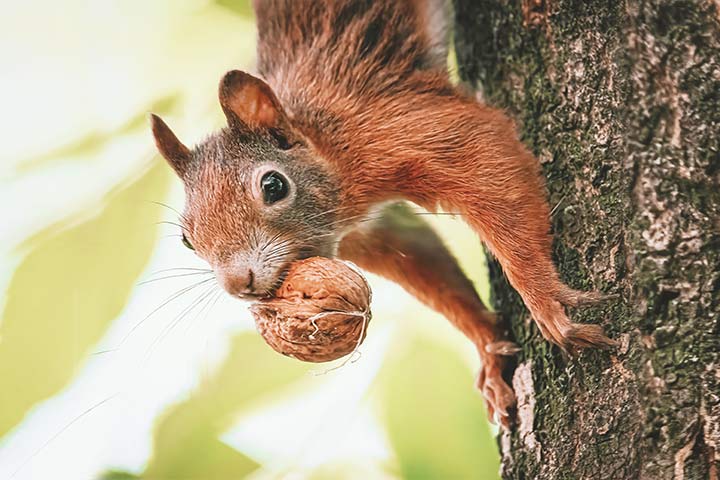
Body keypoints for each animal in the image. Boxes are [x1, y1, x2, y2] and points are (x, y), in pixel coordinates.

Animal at [150, 0, 616, 425]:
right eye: (187, 239)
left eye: (273, 186)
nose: (237, 284)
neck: (325, 142)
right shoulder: (372, 234)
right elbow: (429, 266)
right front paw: (487, 345)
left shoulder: (391, 122)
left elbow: (484, 152)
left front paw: (544, 299)